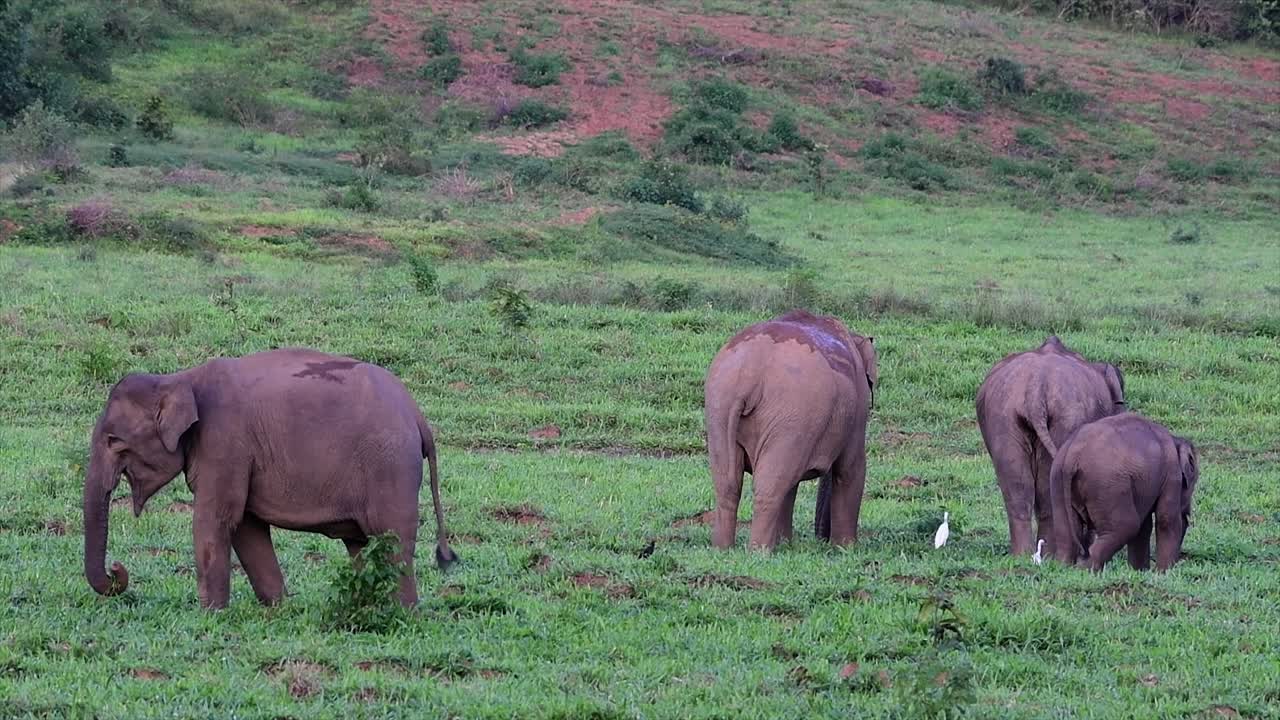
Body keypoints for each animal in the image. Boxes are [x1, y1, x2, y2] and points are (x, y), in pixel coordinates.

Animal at [83, 347, 457, 610]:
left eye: (113, 440)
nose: (118, 569)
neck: (178, 378)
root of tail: (418, 417)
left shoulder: (225, 442)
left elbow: (215, 519)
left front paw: (210, 613)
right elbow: (246, 527)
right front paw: (279, 608)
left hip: (390, 467)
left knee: (392, 539)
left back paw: (403, 612)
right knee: (362, 545)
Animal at [703, 310, 877, 550]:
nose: (822, 539)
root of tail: (748, 372)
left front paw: (787, 545)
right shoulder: (858, 409)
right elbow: (851, 468)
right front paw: (846, 549)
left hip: (720, 407)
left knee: (728, 483)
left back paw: (723, 549)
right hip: (793, 413)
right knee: (770, 485)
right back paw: (759, 552)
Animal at [975, 336, 1125, 556]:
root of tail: (1035, 389)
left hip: (1003, 418)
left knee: (1018, 487)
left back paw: (1023, 555)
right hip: (1065, 419)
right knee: (1047, 488)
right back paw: (1048, 556)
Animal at [1049, 413, 1199, 571]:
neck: (1175, 439)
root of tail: (1072, 455)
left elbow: (1145, 527)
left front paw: (1139, 571)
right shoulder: (1172, 475)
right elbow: (1166, 520)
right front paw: (1163, 573)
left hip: (1057, 480)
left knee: (1066, 536)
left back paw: (1065, 567)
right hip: (1108, 487)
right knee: (1128, 525)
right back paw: (1086, 568)